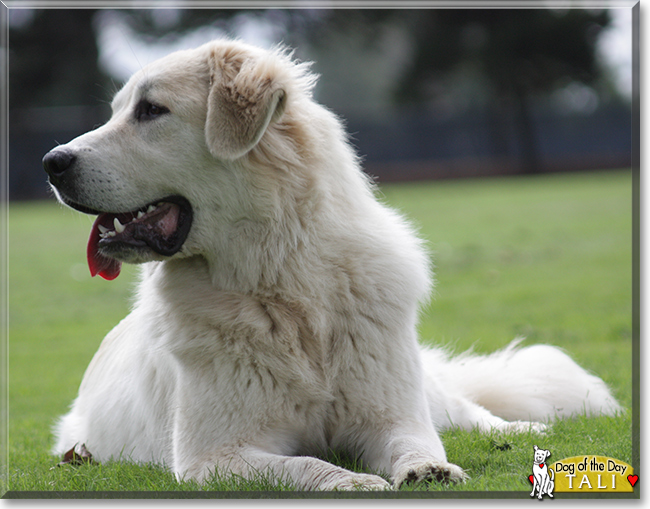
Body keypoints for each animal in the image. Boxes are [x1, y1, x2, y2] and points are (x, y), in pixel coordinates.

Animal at [43, 39, 620, 488]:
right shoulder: (215, 457)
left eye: (150, 111)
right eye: (119, 111)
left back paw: (525, 431)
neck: (284, 279)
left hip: (428, 392)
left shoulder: (391, 414)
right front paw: (356, 482)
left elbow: (416, 443)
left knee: (468, 410)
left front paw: (427, 469)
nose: (52, 162)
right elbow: (307, 466)